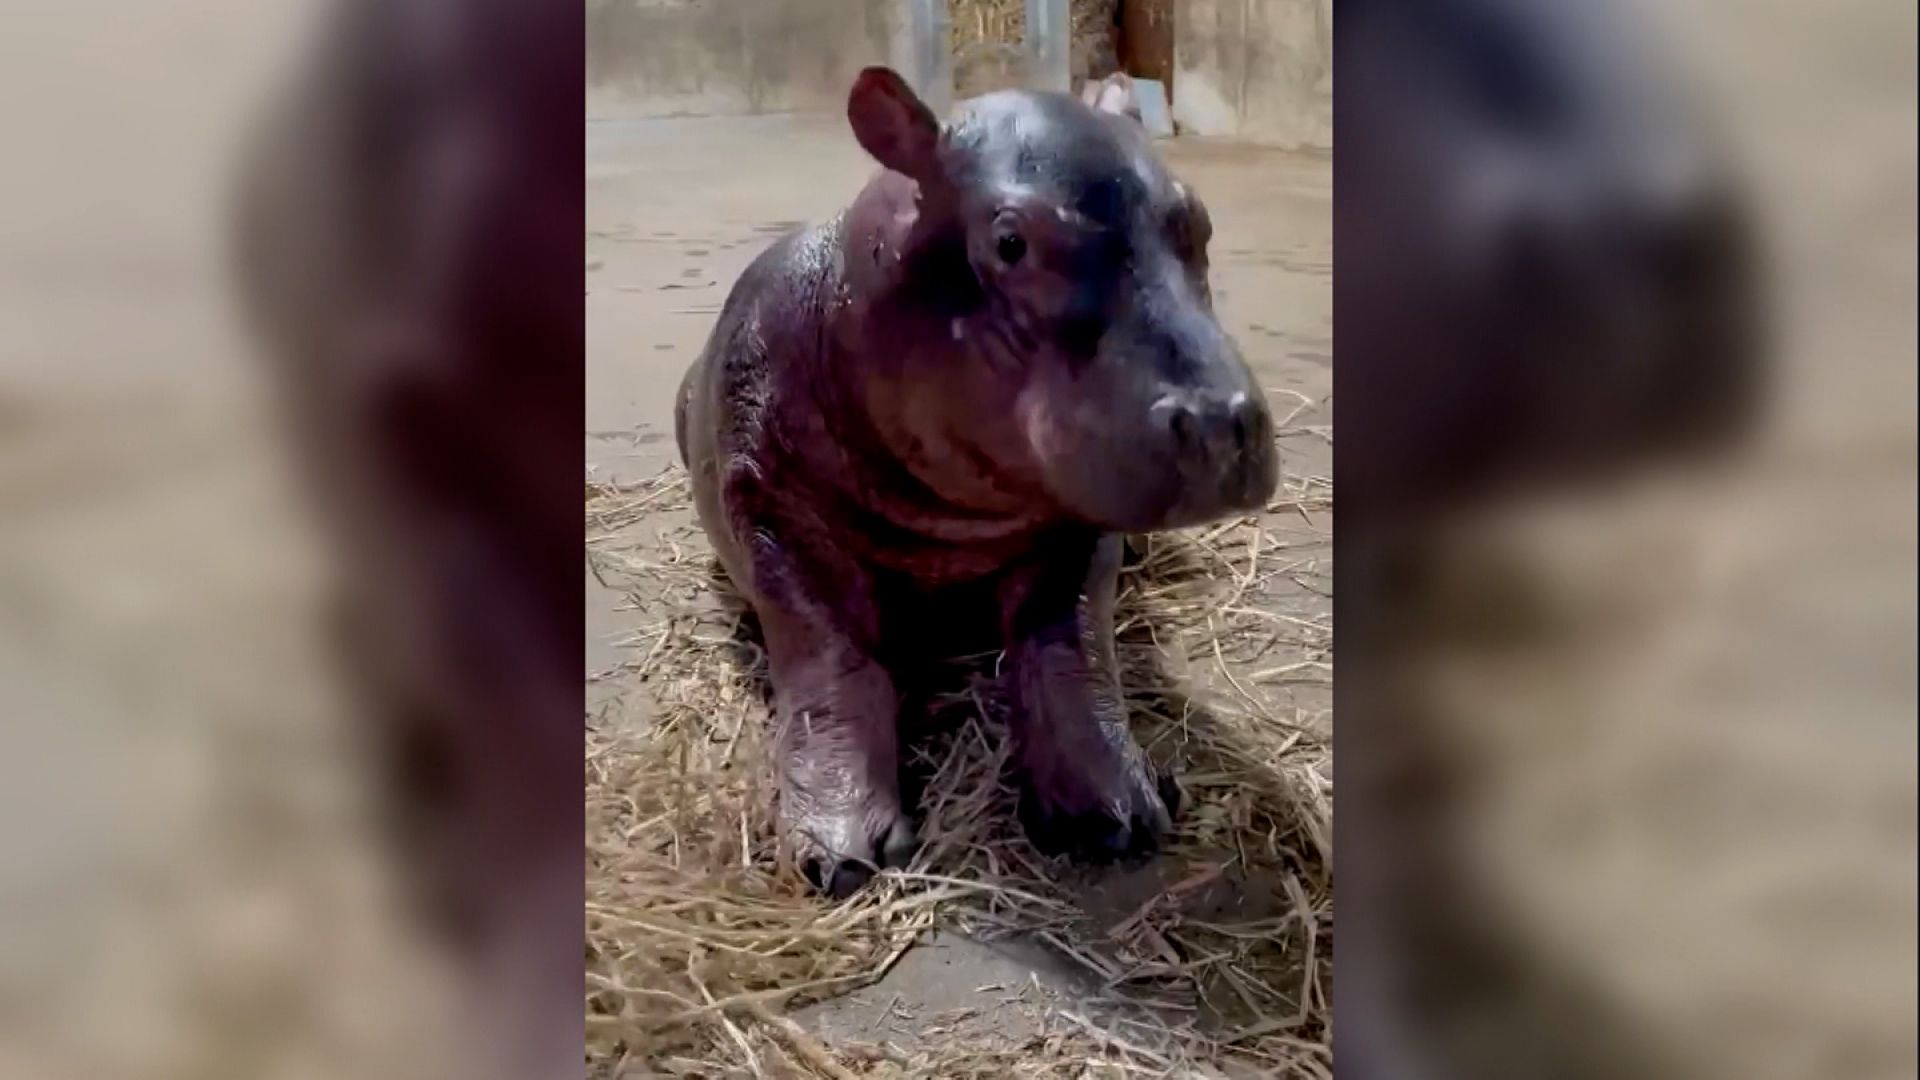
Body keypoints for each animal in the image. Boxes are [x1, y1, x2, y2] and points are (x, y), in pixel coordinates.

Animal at [675, 69, 1274, 891]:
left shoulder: (1078, 520)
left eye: (1200, 223)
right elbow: (828, 652)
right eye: (1009, 241)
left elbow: (1067, 641)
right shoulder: (764, 499)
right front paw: (841, 856)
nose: (1222, 421)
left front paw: (1117, 813)